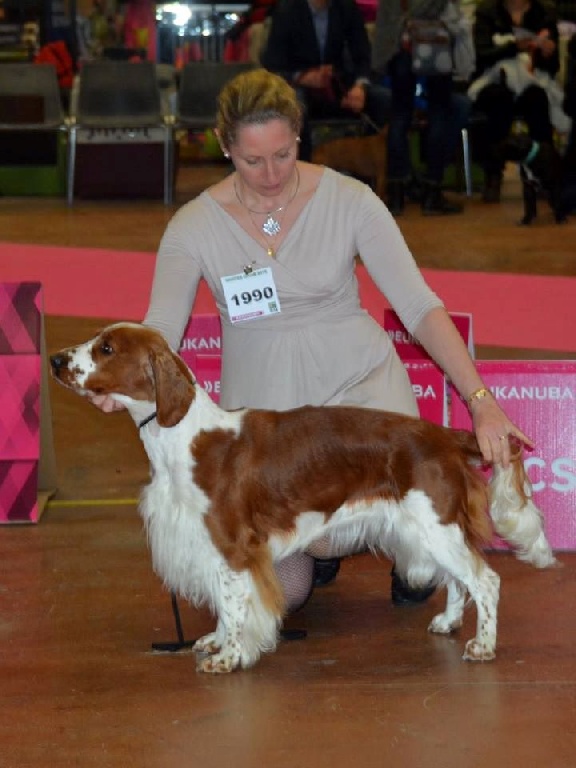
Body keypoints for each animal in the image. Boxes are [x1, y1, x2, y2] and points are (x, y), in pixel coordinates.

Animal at [51, 322, 556, 672]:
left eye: (106, 348)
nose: (56, 359)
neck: (182, 439)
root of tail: (444, 435)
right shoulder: (208, 544)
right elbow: (222, 601)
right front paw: (215, 641)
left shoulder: (234, 544)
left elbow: (233, 603)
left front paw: (228, 657)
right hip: (425, 528)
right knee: (457, 579)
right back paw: (448, 622)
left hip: (435, 524)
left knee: (485, 580)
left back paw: (483, 645)